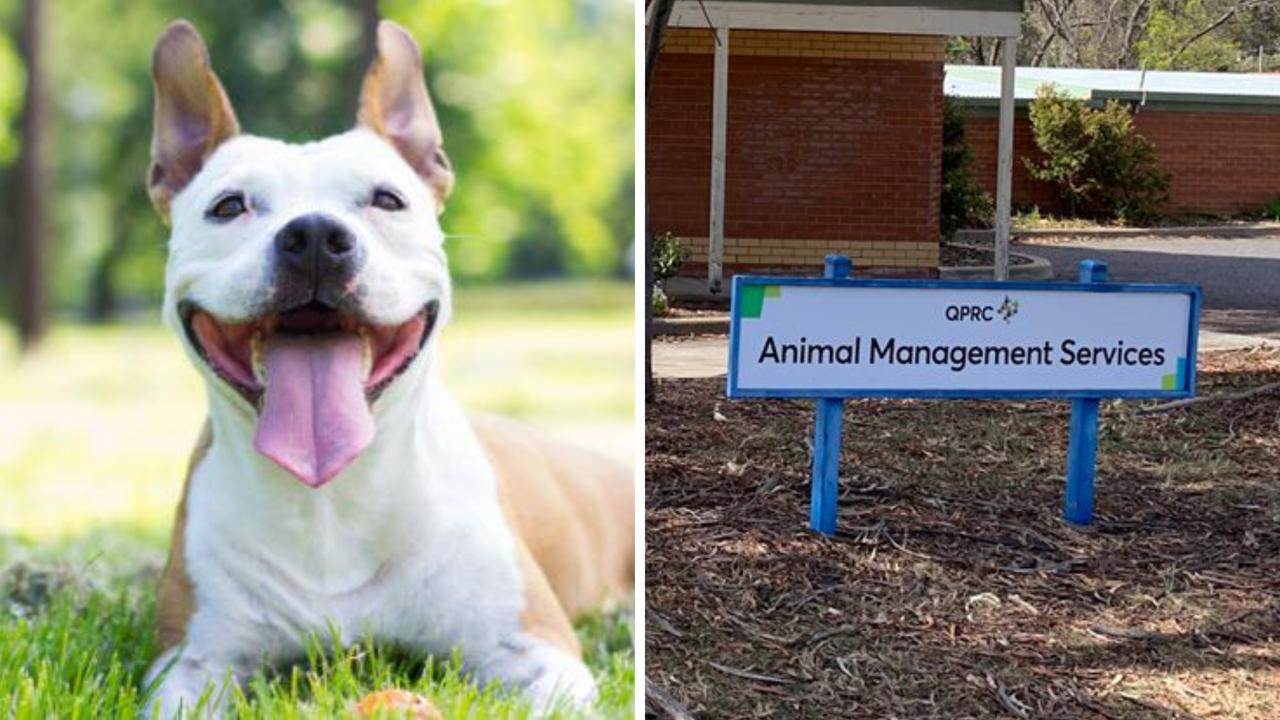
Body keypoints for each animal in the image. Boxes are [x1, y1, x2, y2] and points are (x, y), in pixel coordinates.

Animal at [142, 19, 632, 712]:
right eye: (229, 206)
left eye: (386, 199)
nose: (314, 237)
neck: (331, 496)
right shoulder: (189, 662)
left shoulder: (540, 650)